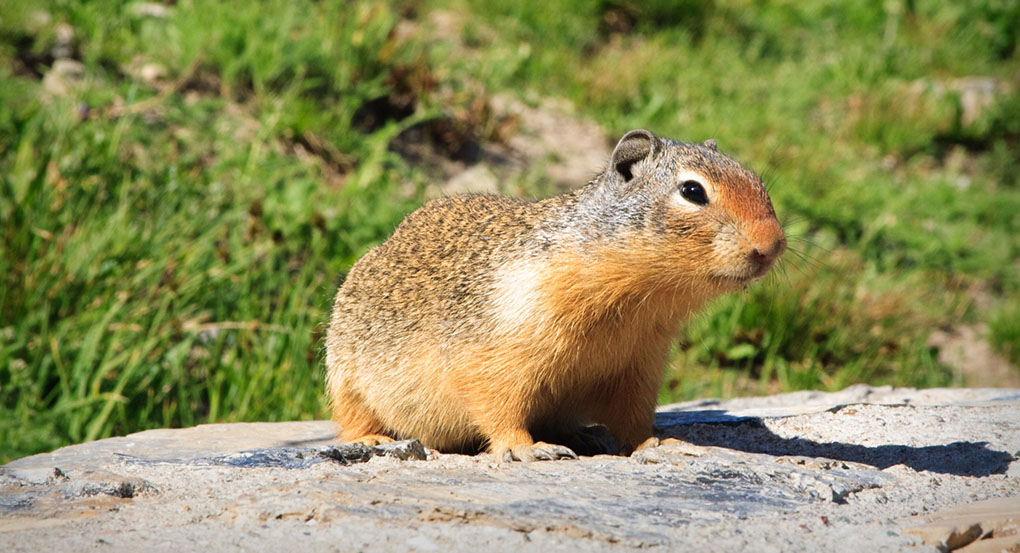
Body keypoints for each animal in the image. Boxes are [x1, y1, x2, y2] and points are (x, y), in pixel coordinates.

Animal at [322, 128, 783, 461]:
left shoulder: (639, 364)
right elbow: (498, 403)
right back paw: (373, 439)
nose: (773, 244)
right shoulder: (498, 350)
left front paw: (657, 443)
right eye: (692, 191)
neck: (638, 297)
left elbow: (633, 416)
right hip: (345, 377)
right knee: (351, 418)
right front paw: (527, 449)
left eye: (758, 181)